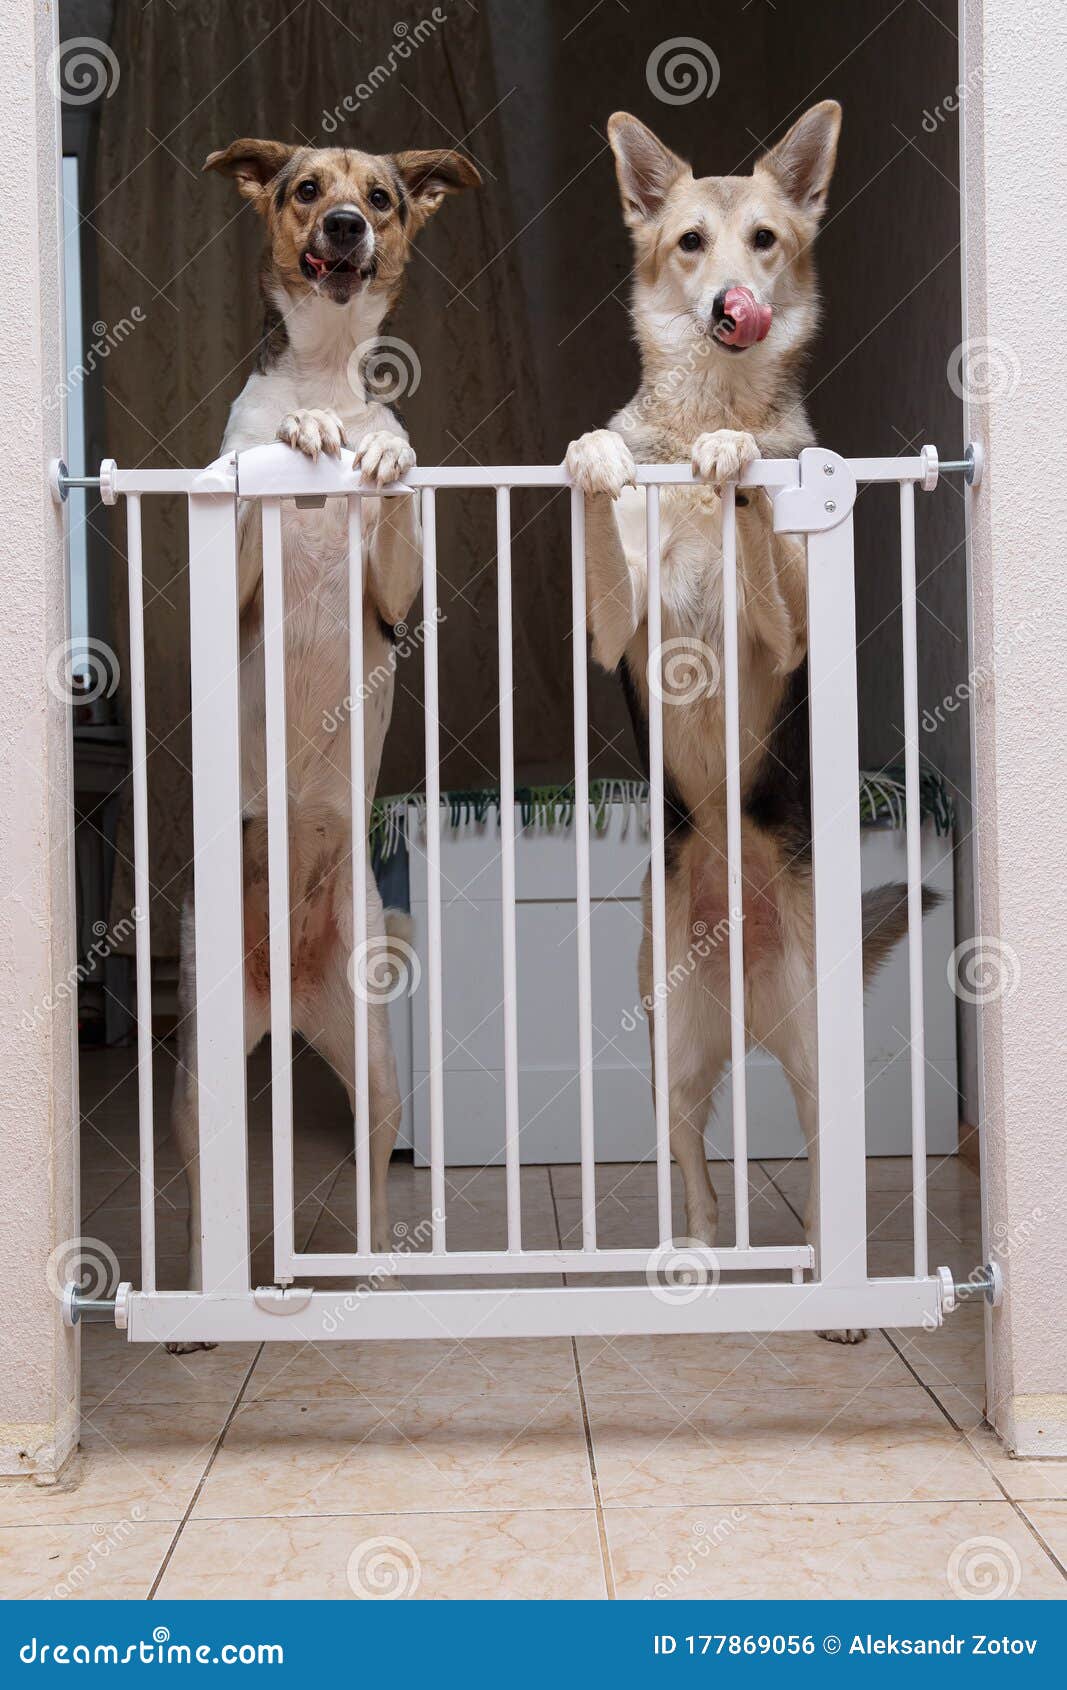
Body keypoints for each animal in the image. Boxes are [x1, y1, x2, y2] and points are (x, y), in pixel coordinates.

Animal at [169, 138, 480, 1318]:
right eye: (306, 189)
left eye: (381, 198)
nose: (346, 225)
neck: (328, 369)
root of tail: (290, 993)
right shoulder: (230, 569)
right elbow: (266, 479)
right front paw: (305, 435)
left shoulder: (393, 597)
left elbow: (388, 490)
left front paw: (374, 459)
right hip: (200, 1071)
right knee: (203, 1189)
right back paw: (195, 1313)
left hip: (378, 1060)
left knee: (373, 1170)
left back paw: (376, 1284)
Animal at [568, 102, 913, 1345]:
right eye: (686, 243)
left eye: (763, 239)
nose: (730, 304)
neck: (705, 410)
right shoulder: (612, 629)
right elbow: (608, 518)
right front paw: (603, 457)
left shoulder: (787, 632)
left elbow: (762, 516)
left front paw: (740, 465)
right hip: (670, 1053)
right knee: (701, 1171)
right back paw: (696, 1264)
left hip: (817, 1052)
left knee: (817, 1170)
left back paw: (834, 1292)